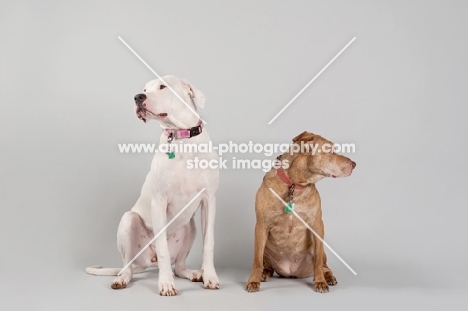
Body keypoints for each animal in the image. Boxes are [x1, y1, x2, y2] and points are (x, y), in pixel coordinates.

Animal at [85, 75, 219, 294]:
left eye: (162, 86)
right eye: (145, 89)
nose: (138, 97)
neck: (182, 138)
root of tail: (148, 262)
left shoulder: (209, 200)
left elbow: (209, 244)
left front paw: (210, 277)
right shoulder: (159, 201)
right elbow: (163, 249)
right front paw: (165, 284)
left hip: (190, 227)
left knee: (179, 267)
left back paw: (193, 274)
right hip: (128, 221)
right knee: (128, 265)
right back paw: (122, 278)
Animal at [247, 133, 356, 294]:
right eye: (331, 152)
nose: (354, 164)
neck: (295, 184)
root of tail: (291, 272)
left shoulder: (317, 225)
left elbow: (317, 262)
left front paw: (320, 282)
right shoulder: (261, 226)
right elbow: (257, 260)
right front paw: (253, 280)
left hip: (321, 251)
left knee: (324, 265)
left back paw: (328, 277)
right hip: (266, 248)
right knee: (267, 266)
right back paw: (263, 274)